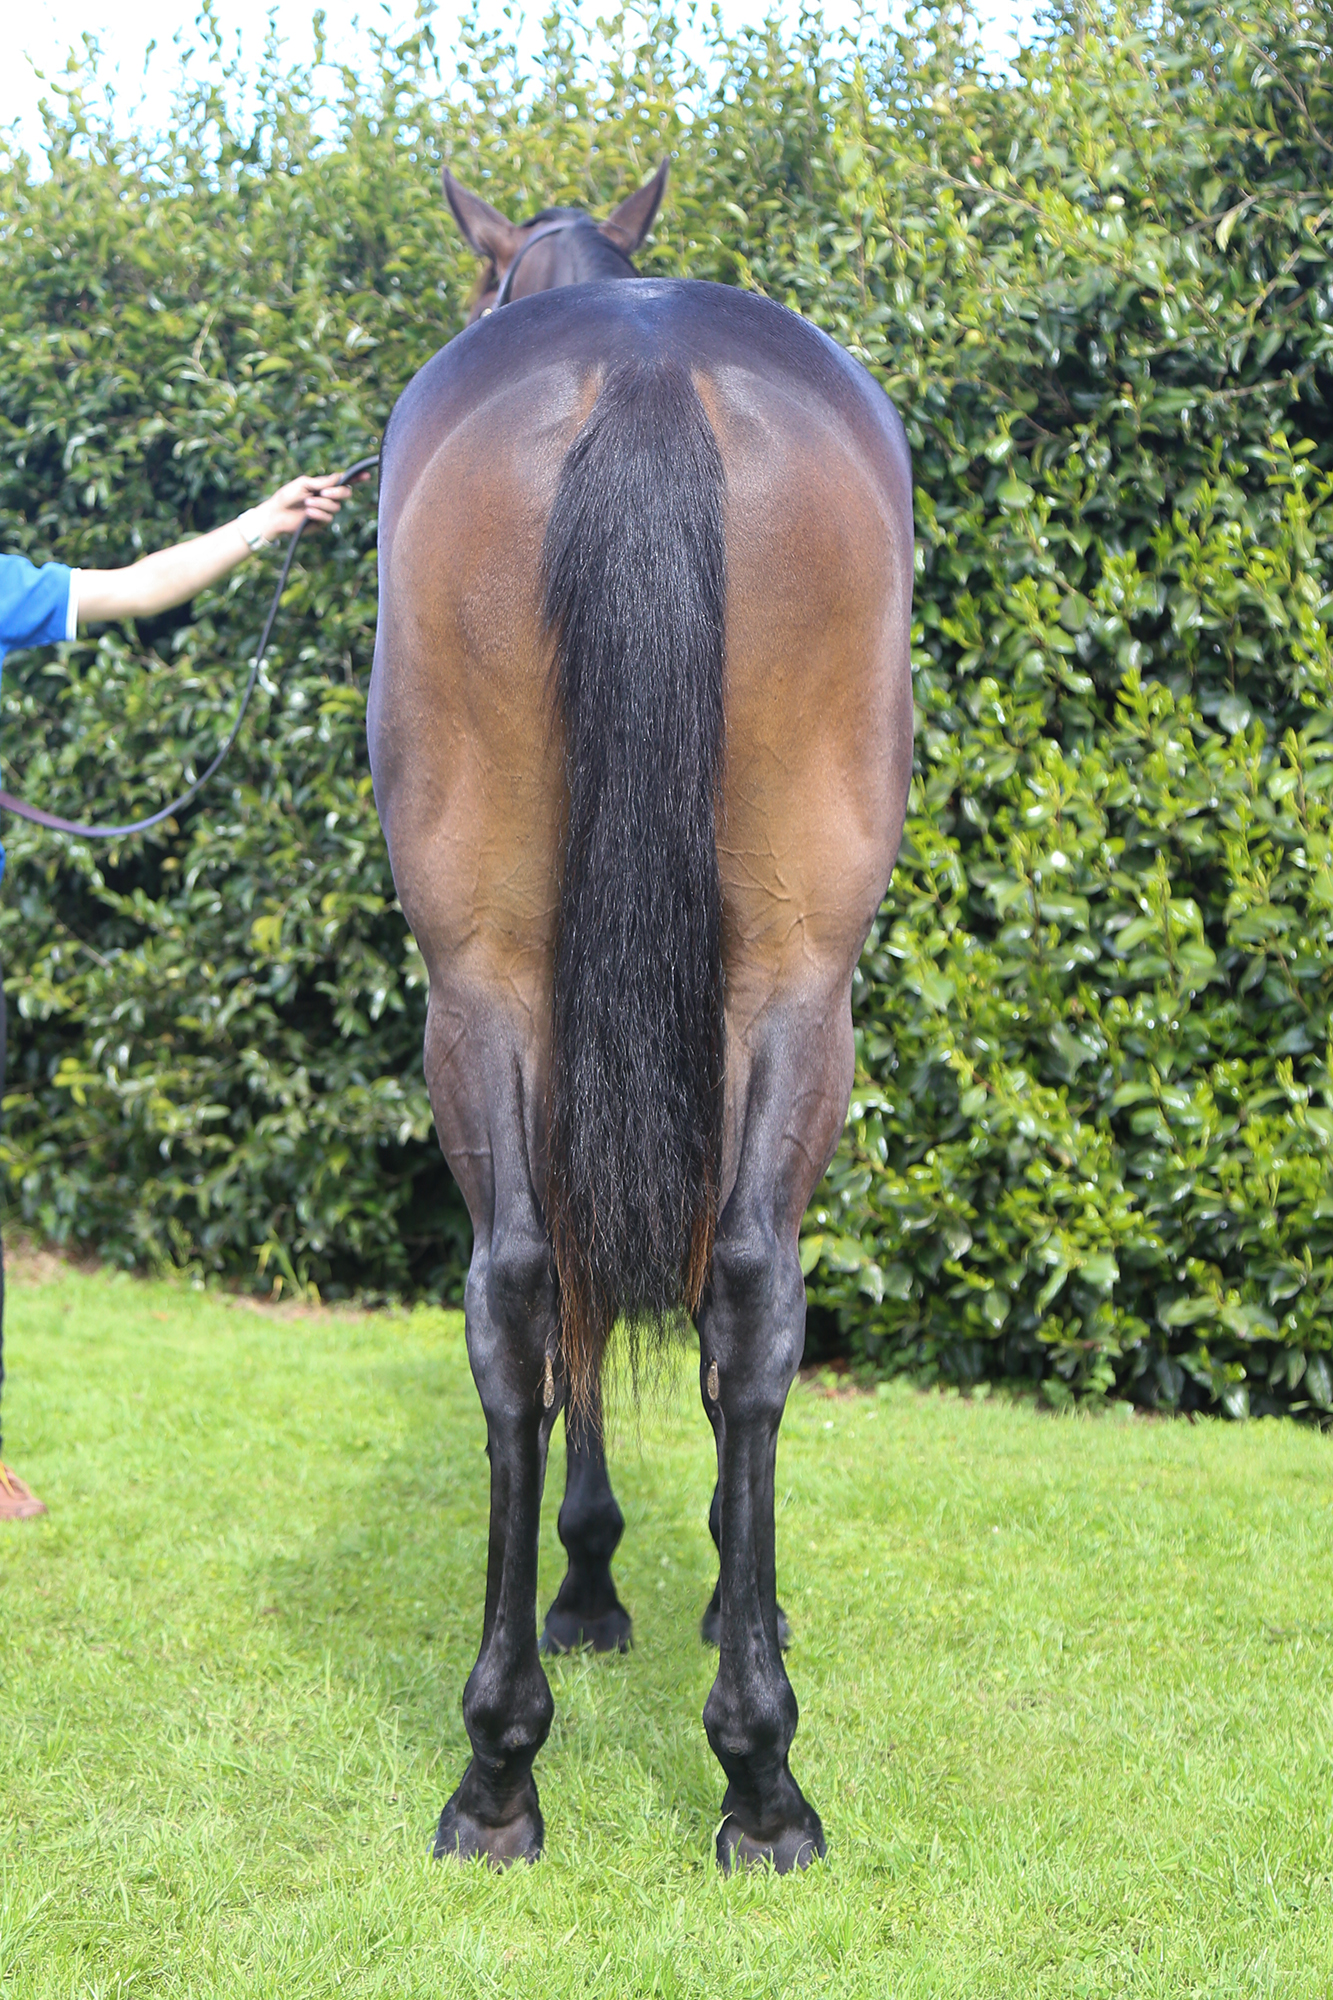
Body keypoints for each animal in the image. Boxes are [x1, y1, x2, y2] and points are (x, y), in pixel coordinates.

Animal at [367, 162, 914, 1872]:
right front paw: (648, 1589)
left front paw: (618, 1582)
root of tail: (651, 366)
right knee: (721, 1293)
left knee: (540, 1293)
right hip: (789, 983)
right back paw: (738, 1770)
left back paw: (517, 1770)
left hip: (493, 983)